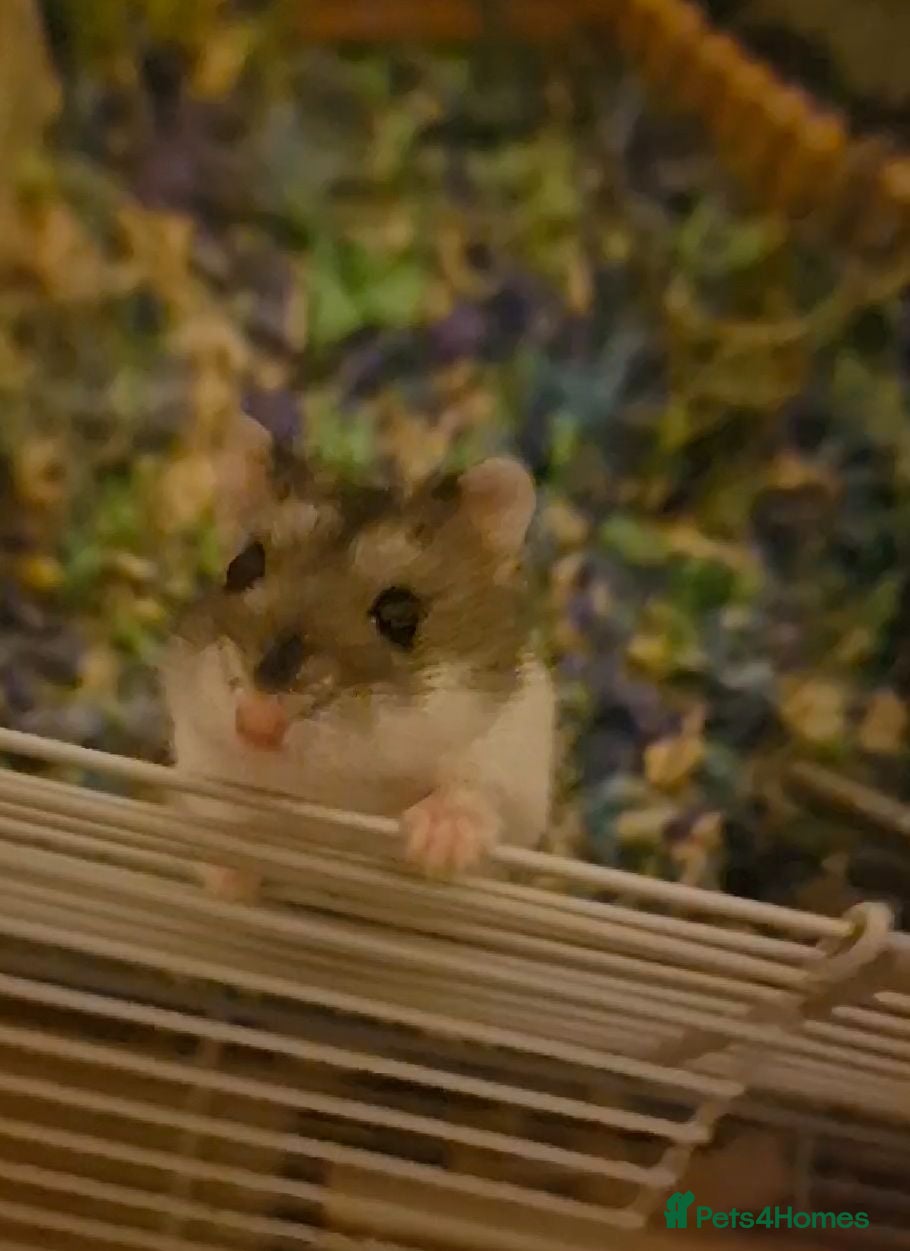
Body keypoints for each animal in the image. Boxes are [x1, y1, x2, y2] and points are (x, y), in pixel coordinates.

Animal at [160, 413, 556, 901]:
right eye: (242, 567)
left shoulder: (517, 746)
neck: (335, 791)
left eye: (400, 614)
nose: (255, 724)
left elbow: (478, 789)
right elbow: (221, 814)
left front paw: (435, 848)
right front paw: (228, 881)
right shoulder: (198, 756)